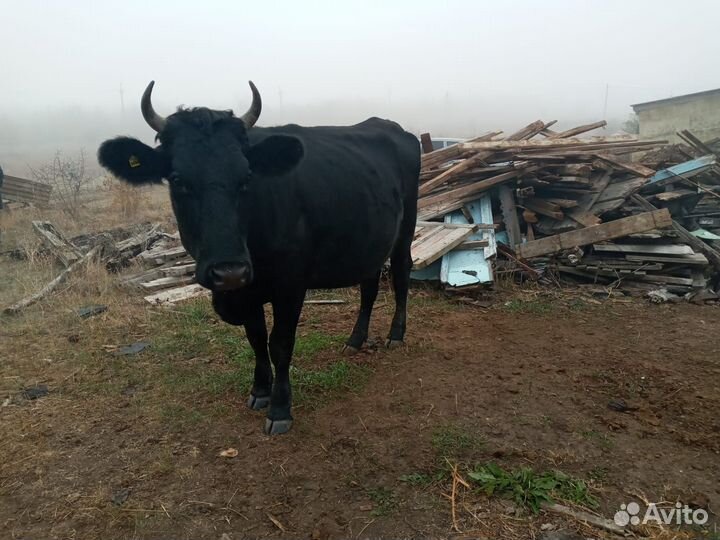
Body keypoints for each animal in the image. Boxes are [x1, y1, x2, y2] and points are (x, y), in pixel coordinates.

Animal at [98, 81, 420, 435]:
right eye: (179, 180)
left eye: (247, 177)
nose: (228, 271)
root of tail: (390, 126)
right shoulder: (246, 290)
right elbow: (256, 338)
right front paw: (260, 391)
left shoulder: (290, 285)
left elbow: (280, 343)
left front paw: (280, 408)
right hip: (370, 240)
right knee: (369, 286)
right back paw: (356, 339)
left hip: (405, 227)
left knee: (401, 273)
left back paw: (396, 334)